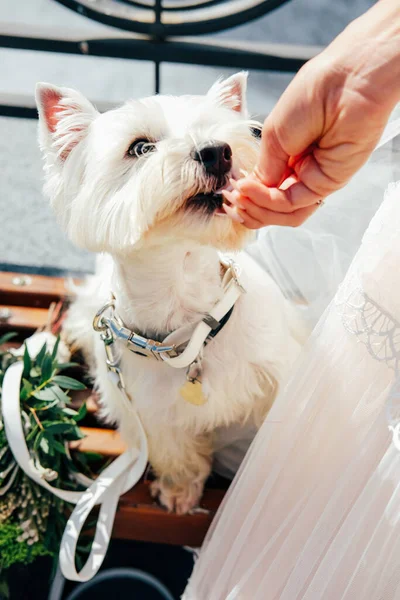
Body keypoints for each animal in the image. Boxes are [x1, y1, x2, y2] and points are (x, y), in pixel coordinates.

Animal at [36, 74, 304, 516]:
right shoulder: (149, 409)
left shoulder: (278, 377)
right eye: (140, 147)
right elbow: (175, 450)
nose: (217, 152)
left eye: (220, 131)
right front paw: (179, 491)